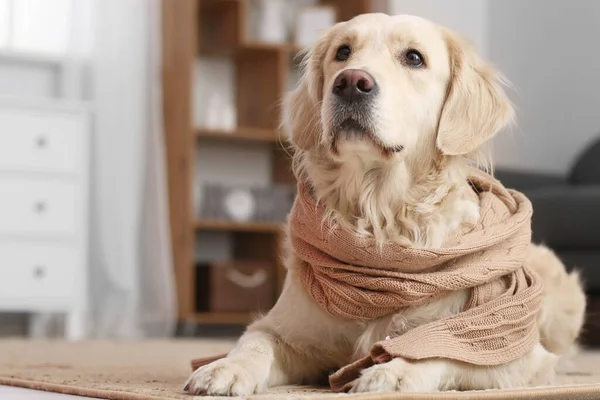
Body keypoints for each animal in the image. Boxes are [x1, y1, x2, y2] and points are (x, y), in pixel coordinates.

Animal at [184, 13, 584, 396]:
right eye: (343, 52)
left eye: (414, 58)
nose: (350, 82)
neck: (380, 217)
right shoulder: (285, 328)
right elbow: (254, 341)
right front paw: (225, 368)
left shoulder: (512, 351)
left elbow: (442, 348)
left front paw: (392, 373)